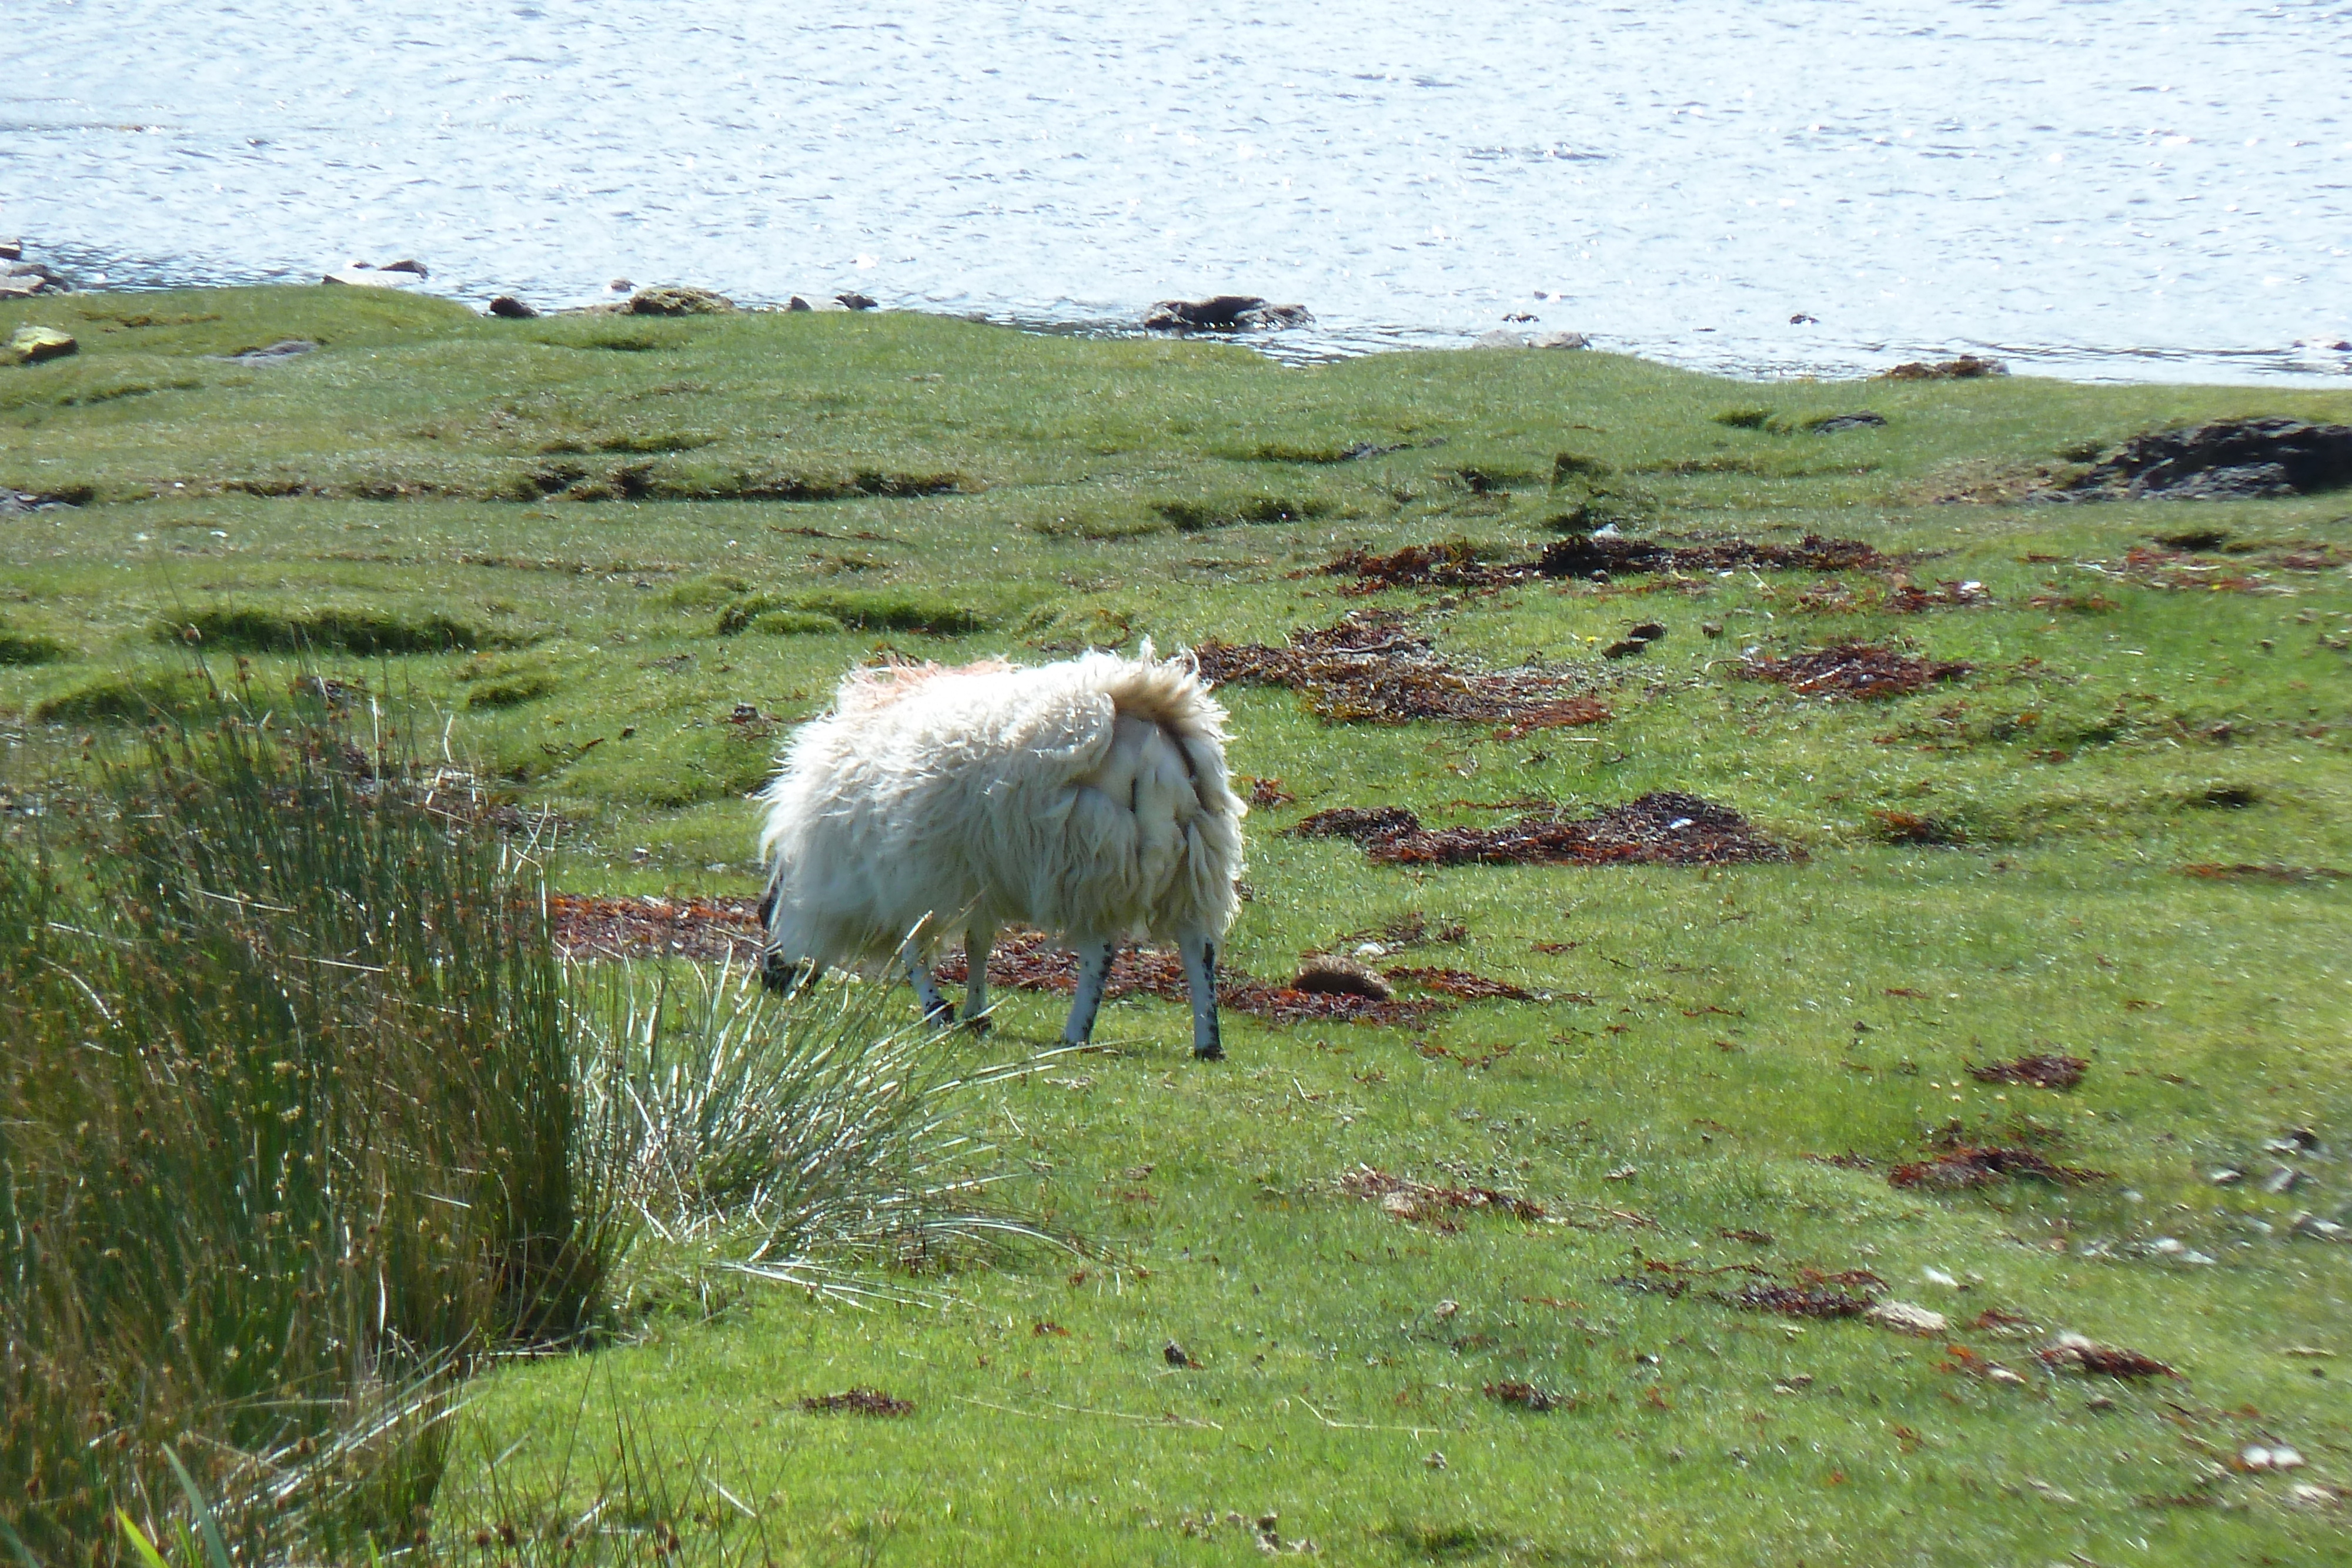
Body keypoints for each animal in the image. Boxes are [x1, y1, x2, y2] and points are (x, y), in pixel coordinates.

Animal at [748, 644, 1251, 1062]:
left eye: (763, 912)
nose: (769, 981)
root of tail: (1142, 725)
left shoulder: (911, 877)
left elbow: (912, 949)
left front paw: (940, 1011)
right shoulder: (975, 875)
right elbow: (979, 944)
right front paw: (976, 1013)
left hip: (1085, 856)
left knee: (1101, 951)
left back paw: (1075, 1033)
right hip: (1198, 859)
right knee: (1200, 947)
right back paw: (1208, 1042)